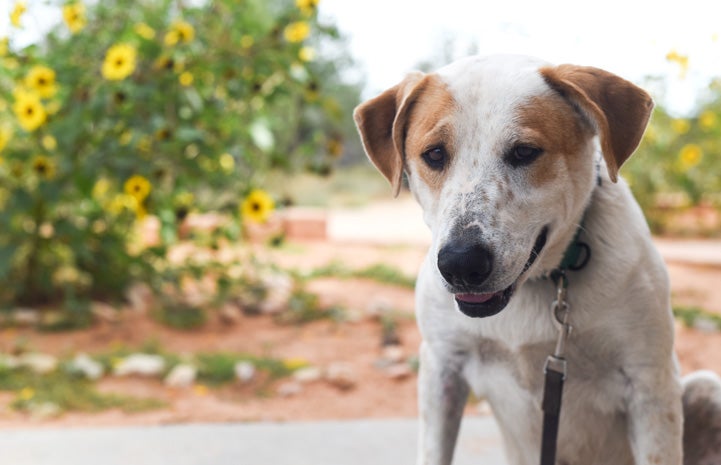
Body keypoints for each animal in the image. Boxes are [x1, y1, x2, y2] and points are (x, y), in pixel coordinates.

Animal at [352, 55, 720, 464]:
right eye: (434, 154)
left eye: (524, 152)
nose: (461, 263)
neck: (535, 288)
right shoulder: (442, 367)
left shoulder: (649, 382)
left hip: (706, 390)